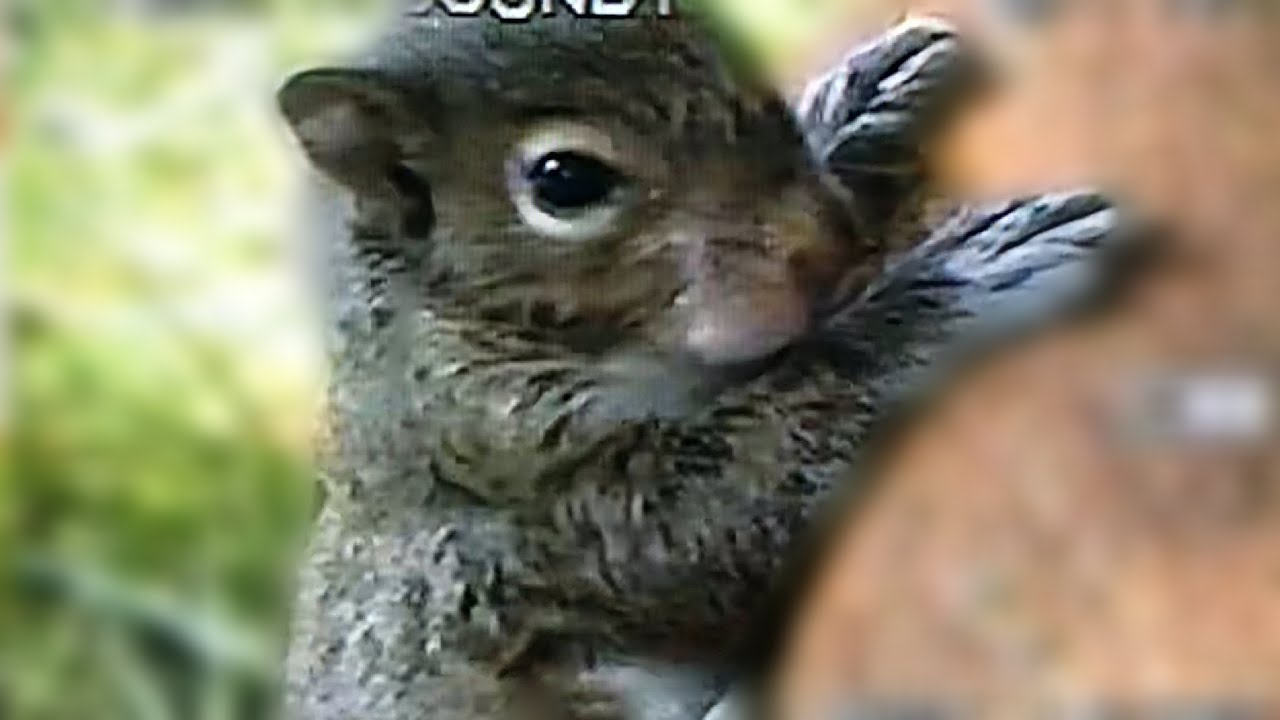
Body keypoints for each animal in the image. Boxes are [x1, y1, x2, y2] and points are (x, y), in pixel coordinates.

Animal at [277, 7, 1134, 719]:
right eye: (565, 180)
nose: (824, 241)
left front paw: (861, 102)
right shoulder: (530, 476)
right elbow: (736, 490)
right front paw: (966, 275)